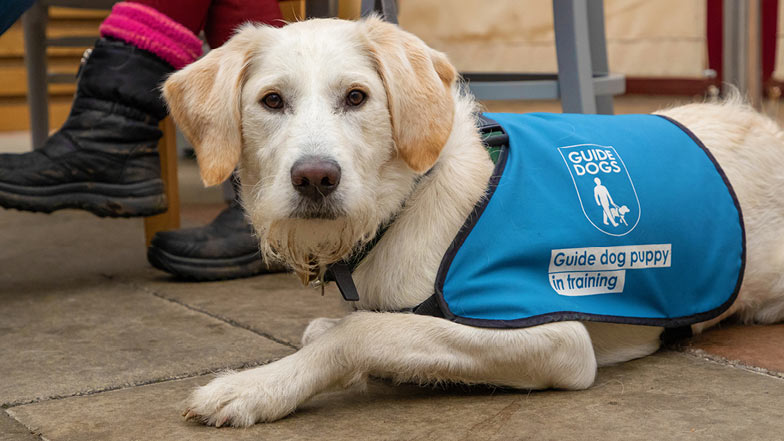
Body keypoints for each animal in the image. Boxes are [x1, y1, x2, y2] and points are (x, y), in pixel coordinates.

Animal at [162, 18, 784, 426]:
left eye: (357, 97)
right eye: (271, 101)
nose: (315, 178)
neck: (408, 202)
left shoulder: (553, 336)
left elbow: (363, 332)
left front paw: (257, 386)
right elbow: (347, 328)